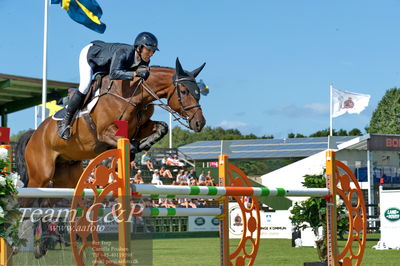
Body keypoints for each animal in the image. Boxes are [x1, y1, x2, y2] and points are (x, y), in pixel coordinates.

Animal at [15, 58, 206, 189]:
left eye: (198, 92)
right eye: (184, 91)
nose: (200, 123)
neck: (134, 95)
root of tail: (34, 134)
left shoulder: (140, 127)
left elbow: (161, 127)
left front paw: (144, 144)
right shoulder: (105, 132)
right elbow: (128, 144)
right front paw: (127, 154)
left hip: (66, 175)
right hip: (41, 175)